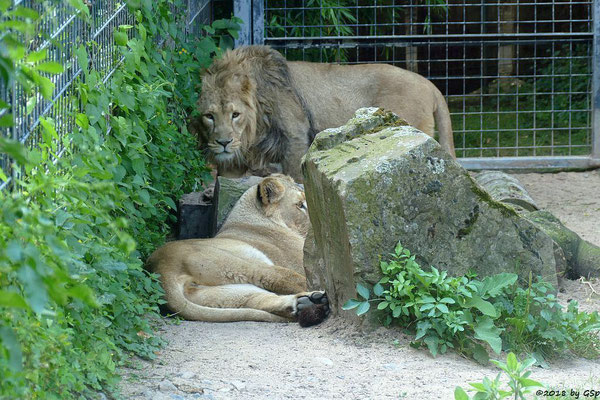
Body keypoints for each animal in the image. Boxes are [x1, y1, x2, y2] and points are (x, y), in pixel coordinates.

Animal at [148, 174, 330, 324]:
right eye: (300, 205)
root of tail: (161, 270)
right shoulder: (302, 260)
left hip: (223, 293)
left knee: (257, 300)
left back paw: (308, 303)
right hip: (239, 263)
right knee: (287, 279)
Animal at [197, 44, 454, 181]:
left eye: (235, 114)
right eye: (209, 116)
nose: (223, 142)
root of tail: (430, 85)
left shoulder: (295, 137)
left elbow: (296, 179)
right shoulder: (234, 160)